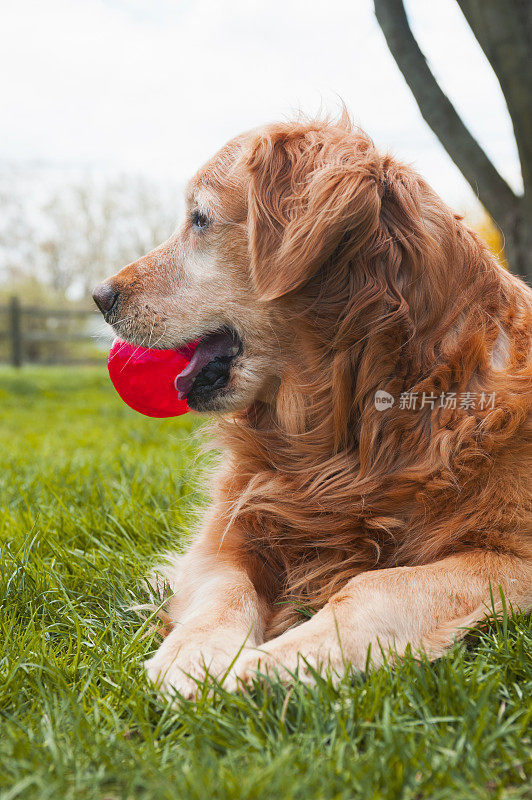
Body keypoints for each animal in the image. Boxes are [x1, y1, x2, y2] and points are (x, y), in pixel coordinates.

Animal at [92, 115, 532, 696]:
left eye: (200, 219)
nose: (99, 296)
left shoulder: (513, 556)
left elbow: (380, 586)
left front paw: (274, 663)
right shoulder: (228, 534)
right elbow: (225, 590)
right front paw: (194, 656)